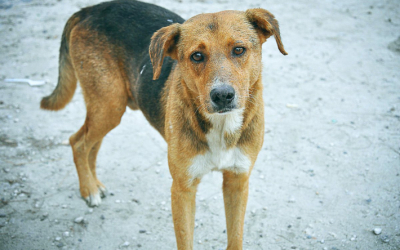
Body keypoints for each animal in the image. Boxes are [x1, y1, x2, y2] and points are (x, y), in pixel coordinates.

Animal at [39, 0, 288, 249]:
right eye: (197, 56)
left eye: (238, 50)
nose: (222, 96)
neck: (221, 125)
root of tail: (89, 10)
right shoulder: (182, 188)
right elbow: (185, 240)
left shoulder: (238, 181)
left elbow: (235, 238)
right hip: (108, 106)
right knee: (78, 142)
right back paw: (89, 189)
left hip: (107, 109)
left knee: (90, 143)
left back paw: (95, 184)